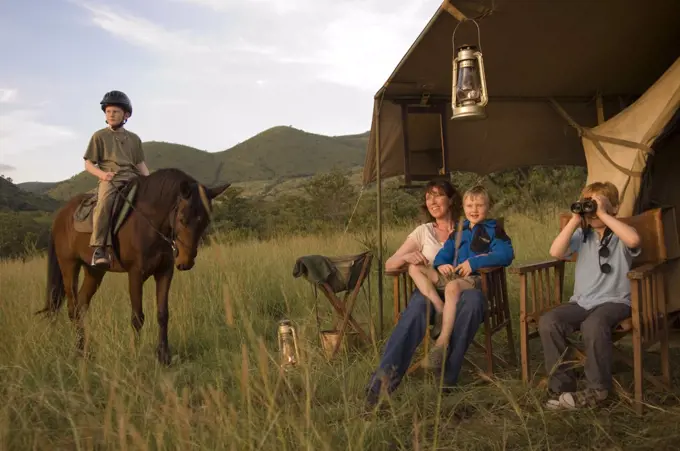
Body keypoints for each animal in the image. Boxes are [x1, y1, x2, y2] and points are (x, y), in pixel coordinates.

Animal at [35, 168, 231, 366]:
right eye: (182, 219)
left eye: (205, 221)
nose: (186, 262)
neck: (150, 223)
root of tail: (60, 216)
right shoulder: (136, 273)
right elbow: (137, 316)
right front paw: (135, 355)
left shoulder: (165, 272)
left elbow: (163, 314)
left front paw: (164, 356)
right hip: (69, 266)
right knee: (73, 308)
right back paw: (80, 352)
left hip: (94, 271)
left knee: (82, 305)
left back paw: (86, 350)